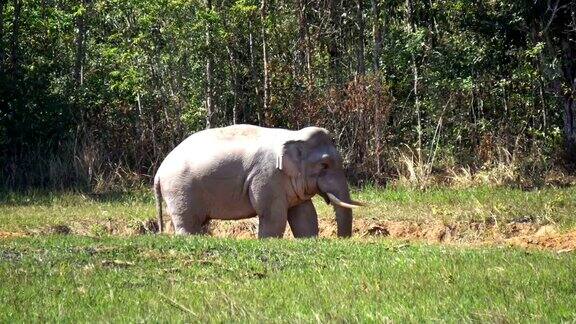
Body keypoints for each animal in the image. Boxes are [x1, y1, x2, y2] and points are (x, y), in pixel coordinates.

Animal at [151, 124, 362, 238]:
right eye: (324, 165)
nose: (341, 240)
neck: (294, 135)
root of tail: (158, 173)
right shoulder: (267, 177)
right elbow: (274, 216)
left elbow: (305, 215)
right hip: (180, 191)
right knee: (187, 224)